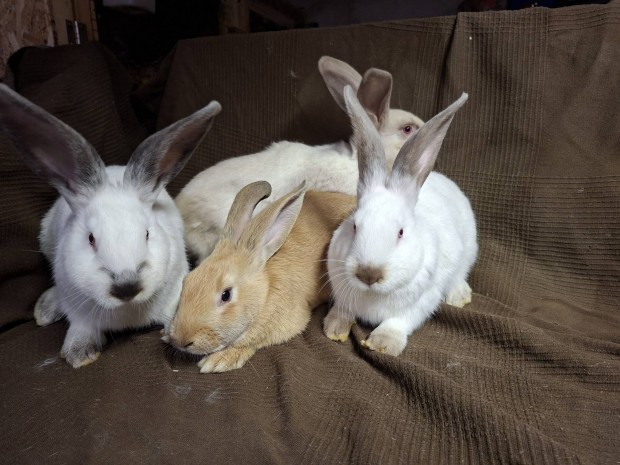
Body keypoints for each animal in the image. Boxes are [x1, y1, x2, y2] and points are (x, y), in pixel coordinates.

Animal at [0, 83, 221, 368]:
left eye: (147, 233)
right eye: (91, 239)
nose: (126, 287)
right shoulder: (79, 311)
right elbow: (81, 328)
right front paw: (79, 354)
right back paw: (46, 309)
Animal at [168, 180, 356, 373]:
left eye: (226, 295)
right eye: (186, 282)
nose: (180, 340)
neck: (265, 293)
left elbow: (251, 343)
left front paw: (219, 360)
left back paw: (336, 327)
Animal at [323, 86, 478, 357]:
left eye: (401, 232)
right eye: (354, 226)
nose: (369, 274)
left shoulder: (421, 302)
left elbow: (398, 321)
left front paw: (383, 344)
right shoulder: (341, 291)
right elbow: (342, 310)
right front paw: (334, 328)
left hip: (469, 249)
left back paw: (459, 297)